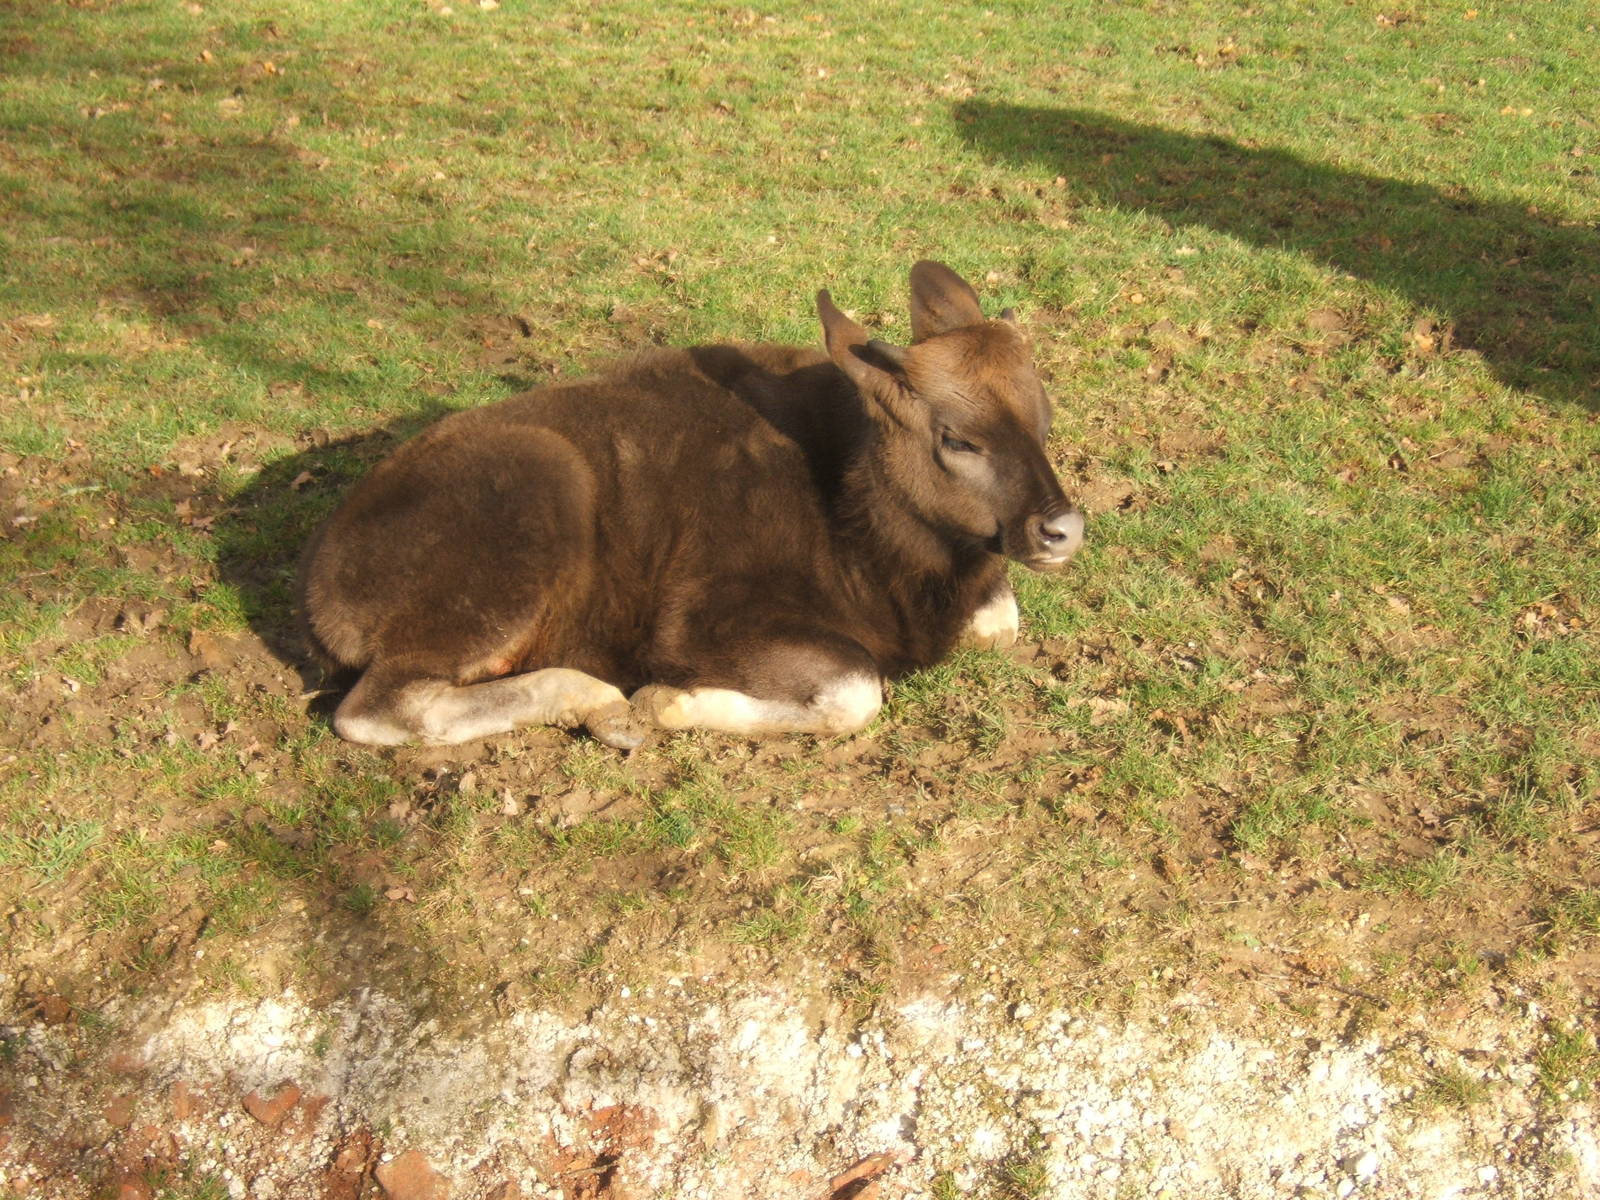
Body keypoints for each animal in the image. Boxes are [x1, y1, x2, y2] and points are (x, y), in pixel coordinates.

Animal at [297, 261, 1082, 751]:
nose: (1062, 529)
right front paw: (664, 701)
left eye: (1044, 422)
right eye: (958, 438)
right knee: (376, 710)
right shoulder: (706, 623)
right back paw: (600, 701)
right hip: (535, 508)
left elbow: (999, 622)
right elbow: (857, 689)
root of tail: (323, 579)